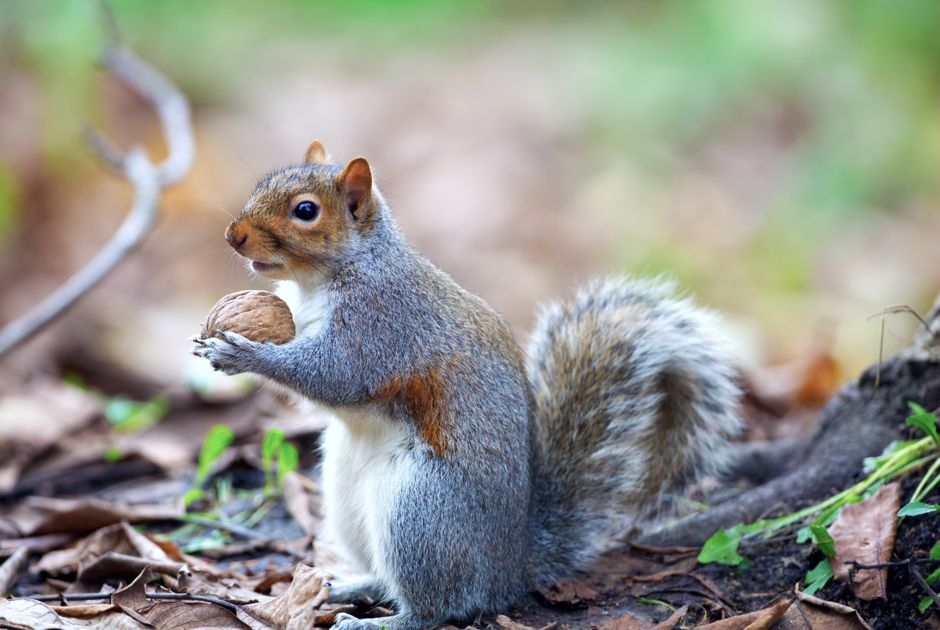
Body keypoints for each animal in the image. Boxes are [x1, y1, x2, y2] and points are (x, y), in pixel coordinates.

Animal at [192, 141, 741, 630]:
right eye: (261, 183)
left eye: (305, 211)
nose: (233, 236)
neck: (333, 274)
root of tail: (509, 568)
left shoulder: (382, 323)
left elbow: (337, 376)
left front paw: (243, 353)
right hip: (345, 496)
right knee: (386, 575)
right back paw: (352, 585)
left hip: (420, 514)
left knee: (440, 606)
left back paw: (382, 622)